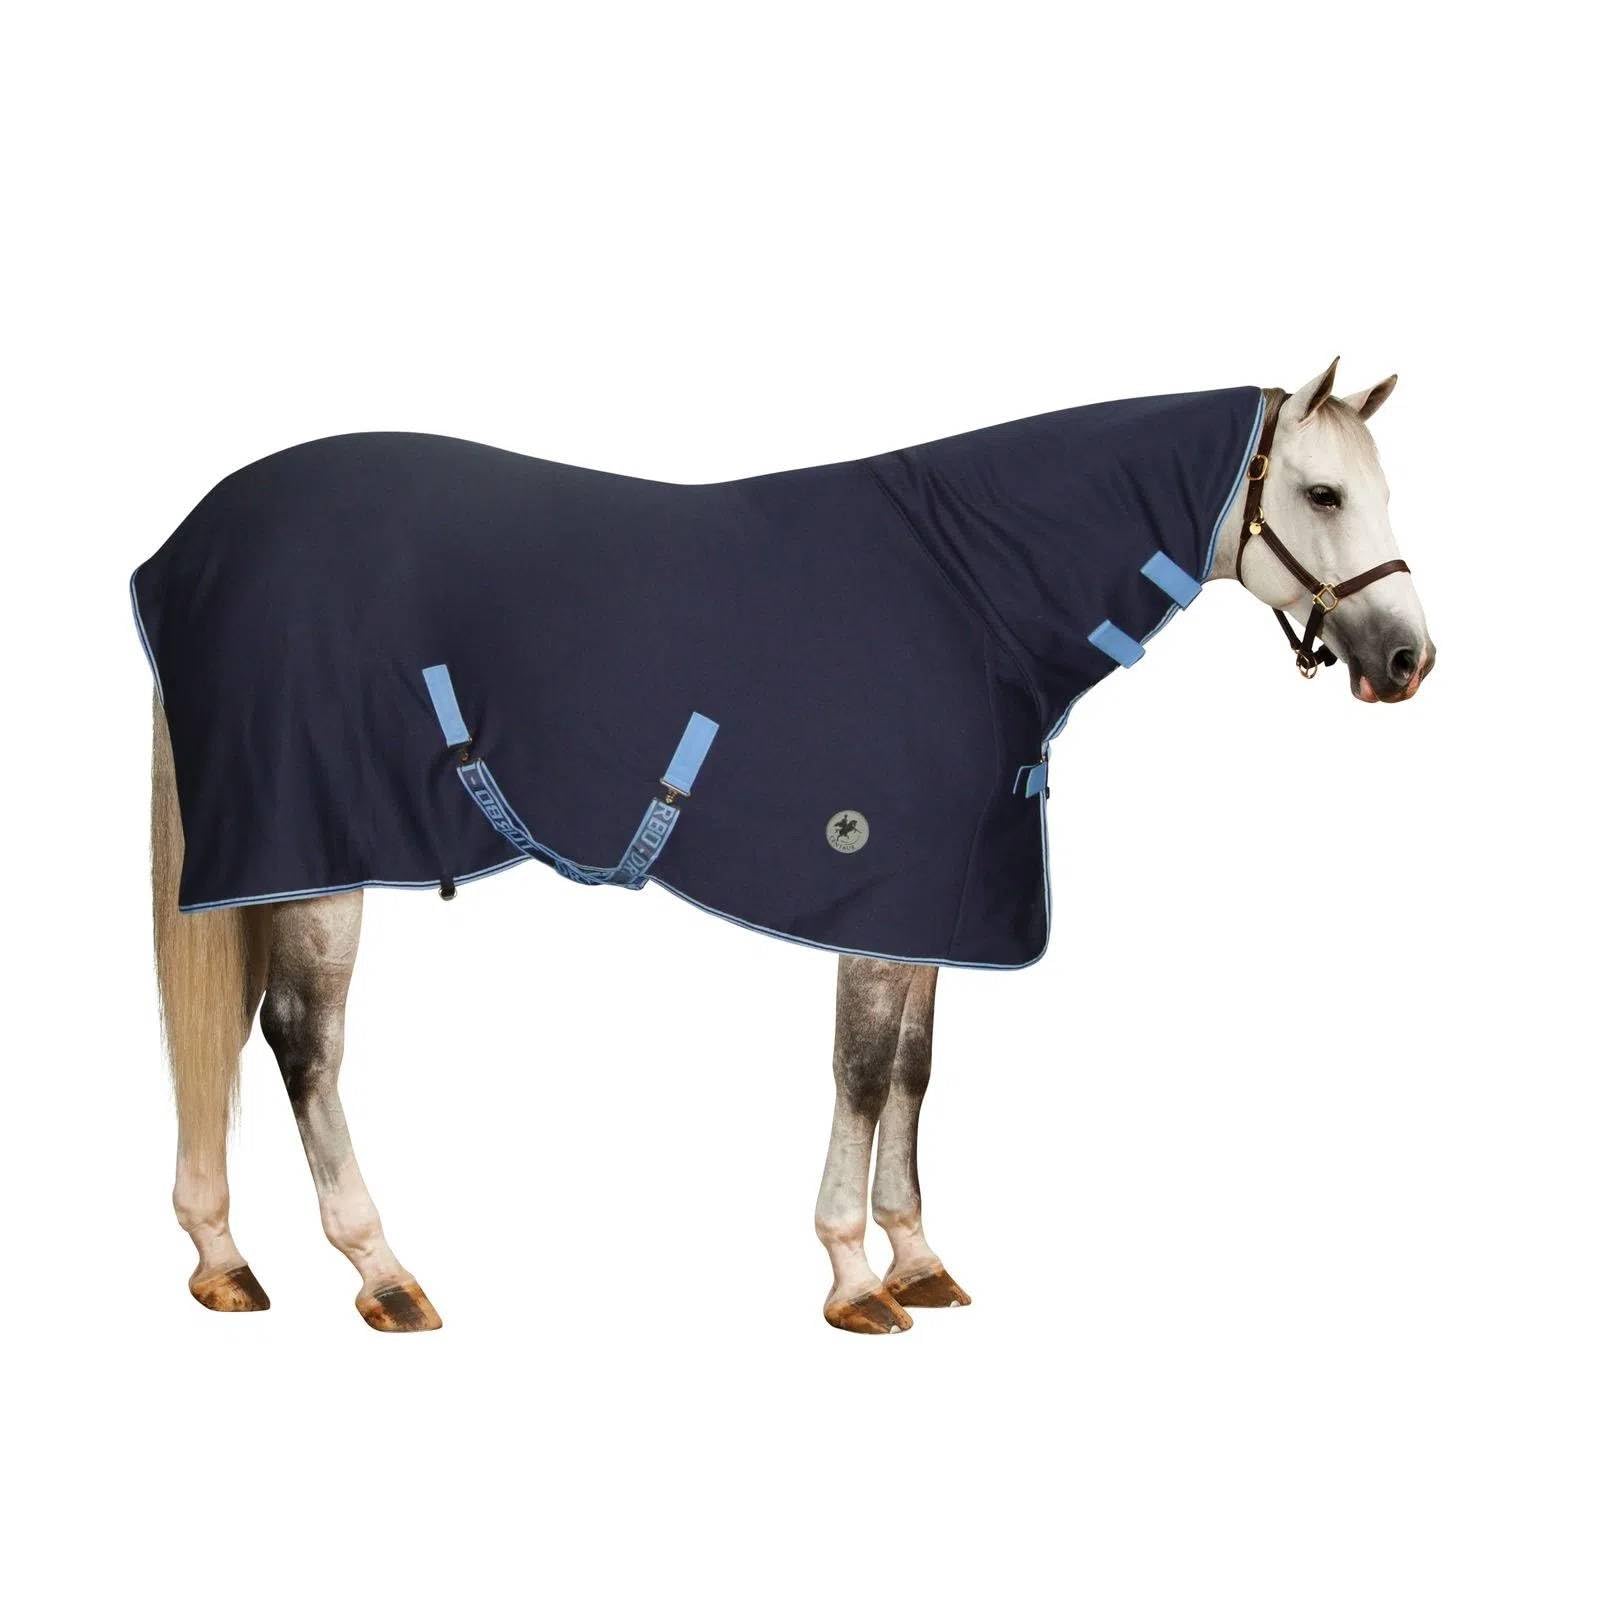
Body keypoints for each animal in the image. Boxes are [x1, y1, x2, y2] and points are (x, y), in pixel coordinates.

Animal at [137, 358, 1434, 1333]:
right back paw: (381, 1271)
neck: (968, 590)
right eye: (1322, 494)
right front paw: (854, 1278)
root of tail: (187, 546)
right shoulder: (870, 888)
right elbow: (860, 1073)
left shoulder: (934, 899)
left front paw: (918, 1259)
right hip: (320, 847)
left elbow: (912, 1073)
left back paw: (222, 1258)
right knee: (302, 1041)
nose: (1407, 659)